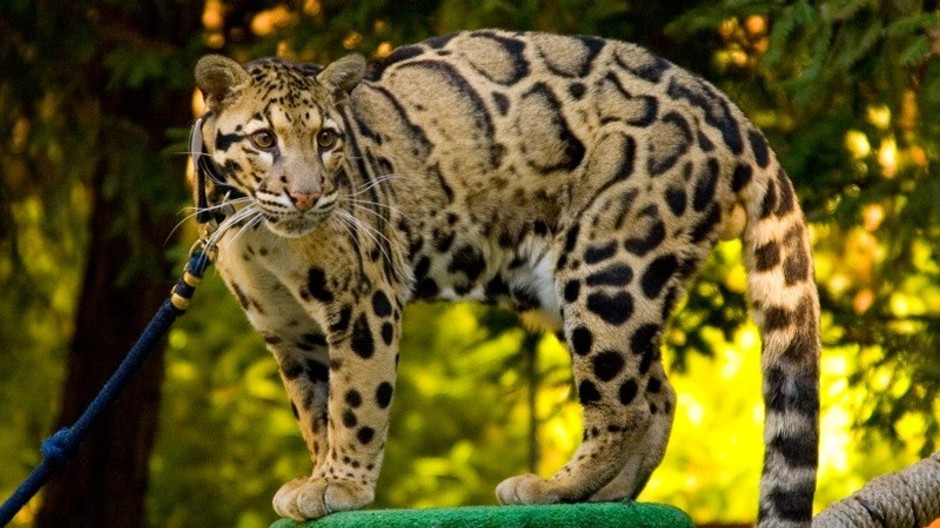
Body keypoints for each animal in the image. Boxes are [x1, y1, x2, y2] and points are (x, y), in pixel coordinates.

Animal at [190, 29, 820, 527]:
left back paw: (552, 489)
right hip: (577, 287)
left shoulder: (364, 299)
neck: (260, 231)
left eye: (326, 138)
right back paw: (604, 497)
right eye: (264, 139)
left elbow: (356, 401)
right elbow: (315, 411)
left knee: (623, 404)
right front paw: (321, 474)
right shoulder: (288, 331)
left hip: (608, 266)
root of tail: (728, 112)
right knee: (657, 392)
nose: (306, 194)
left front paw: (341, 485)